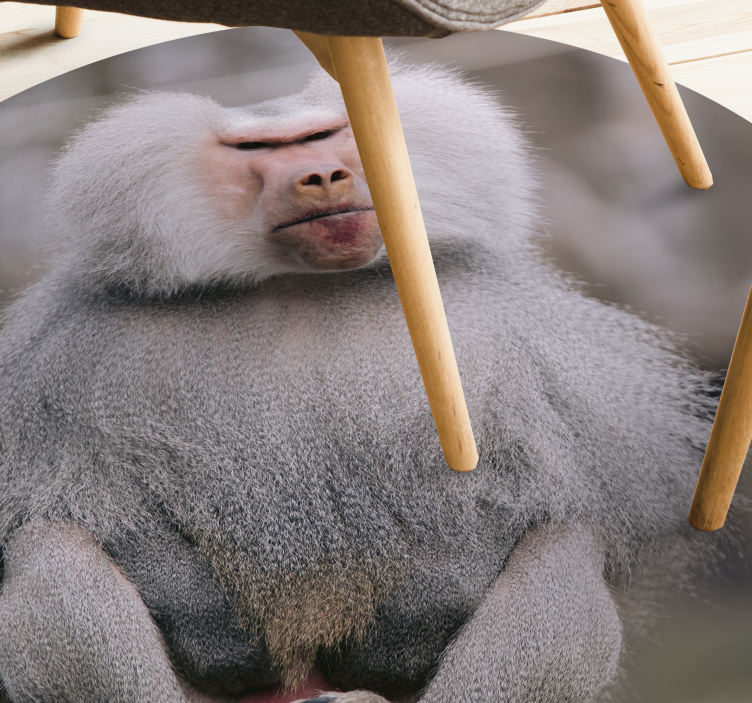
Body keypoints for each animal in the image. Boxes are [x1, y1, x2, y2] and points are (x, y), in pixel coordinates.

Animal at [0, 57, 722, 703]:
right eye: (257, 148)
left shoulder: (506, 335)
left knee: (564, 547)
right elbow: (74, 510)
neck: (298, 286)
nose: (323, 175)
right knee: (51, 548)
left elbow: (532, 497)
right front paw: (221, 639)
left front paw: (399, 640)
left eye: (323, 135)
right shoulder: (70, 353)